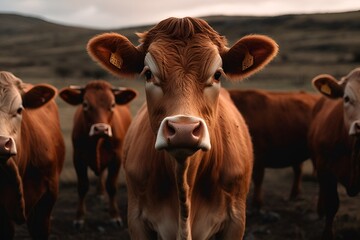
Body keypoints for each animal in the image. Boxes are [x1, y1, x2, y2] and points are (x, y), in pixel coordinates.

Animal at [59, 80, 136, 229]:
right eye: (85, 104)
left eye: (112, 104)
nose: (101, 129)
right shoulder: (78, 158)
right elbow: (82, 186)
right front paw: (79, 218)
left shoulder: (116, 159)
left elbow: (112, 186)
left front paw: (114, 216)